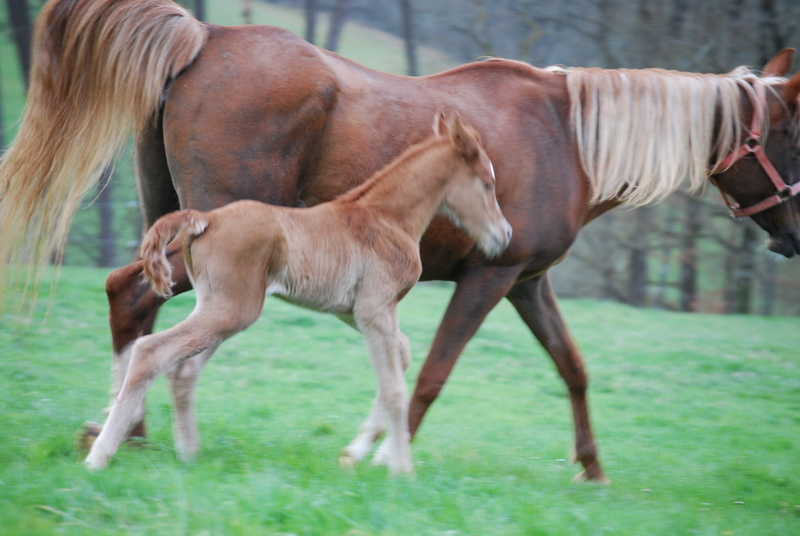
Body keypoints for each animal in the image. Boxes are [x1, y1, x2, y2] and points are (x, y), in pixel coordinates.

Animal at [1, 0, 800, 484]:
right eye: (789, 134)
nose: (793, 236)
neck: (565, 135)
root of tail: (207, 35)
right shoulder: (489, 278)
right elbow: (429, 376)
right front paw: (379, 456)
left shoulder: (528, 282)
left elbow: (571, 368)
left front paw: (592, 470)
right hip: (210, 253)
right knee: (141, 312)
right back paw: (123, 433)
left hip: (172, 228)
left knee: (129, 303)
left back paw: (125, 432)